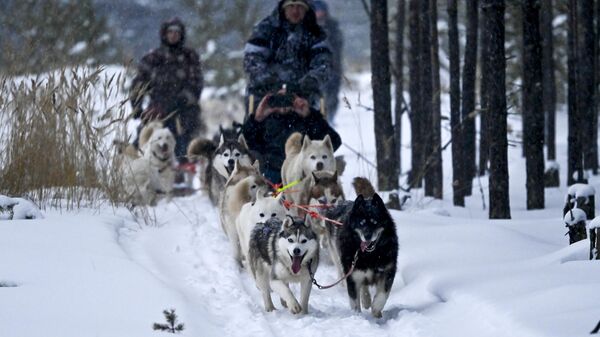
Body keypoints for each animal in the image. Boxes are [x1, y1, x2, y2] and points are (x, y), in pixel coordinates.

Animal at [324, 178, 398, 318]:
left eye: (375, 222)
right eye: (361, 223)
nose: (367, 236)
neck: (370, 255)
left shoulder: (387, 271)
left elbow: (382, 295)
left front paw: (376, 309)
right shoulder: (352, 276)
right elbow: (354, 302)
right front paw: (357, 316)